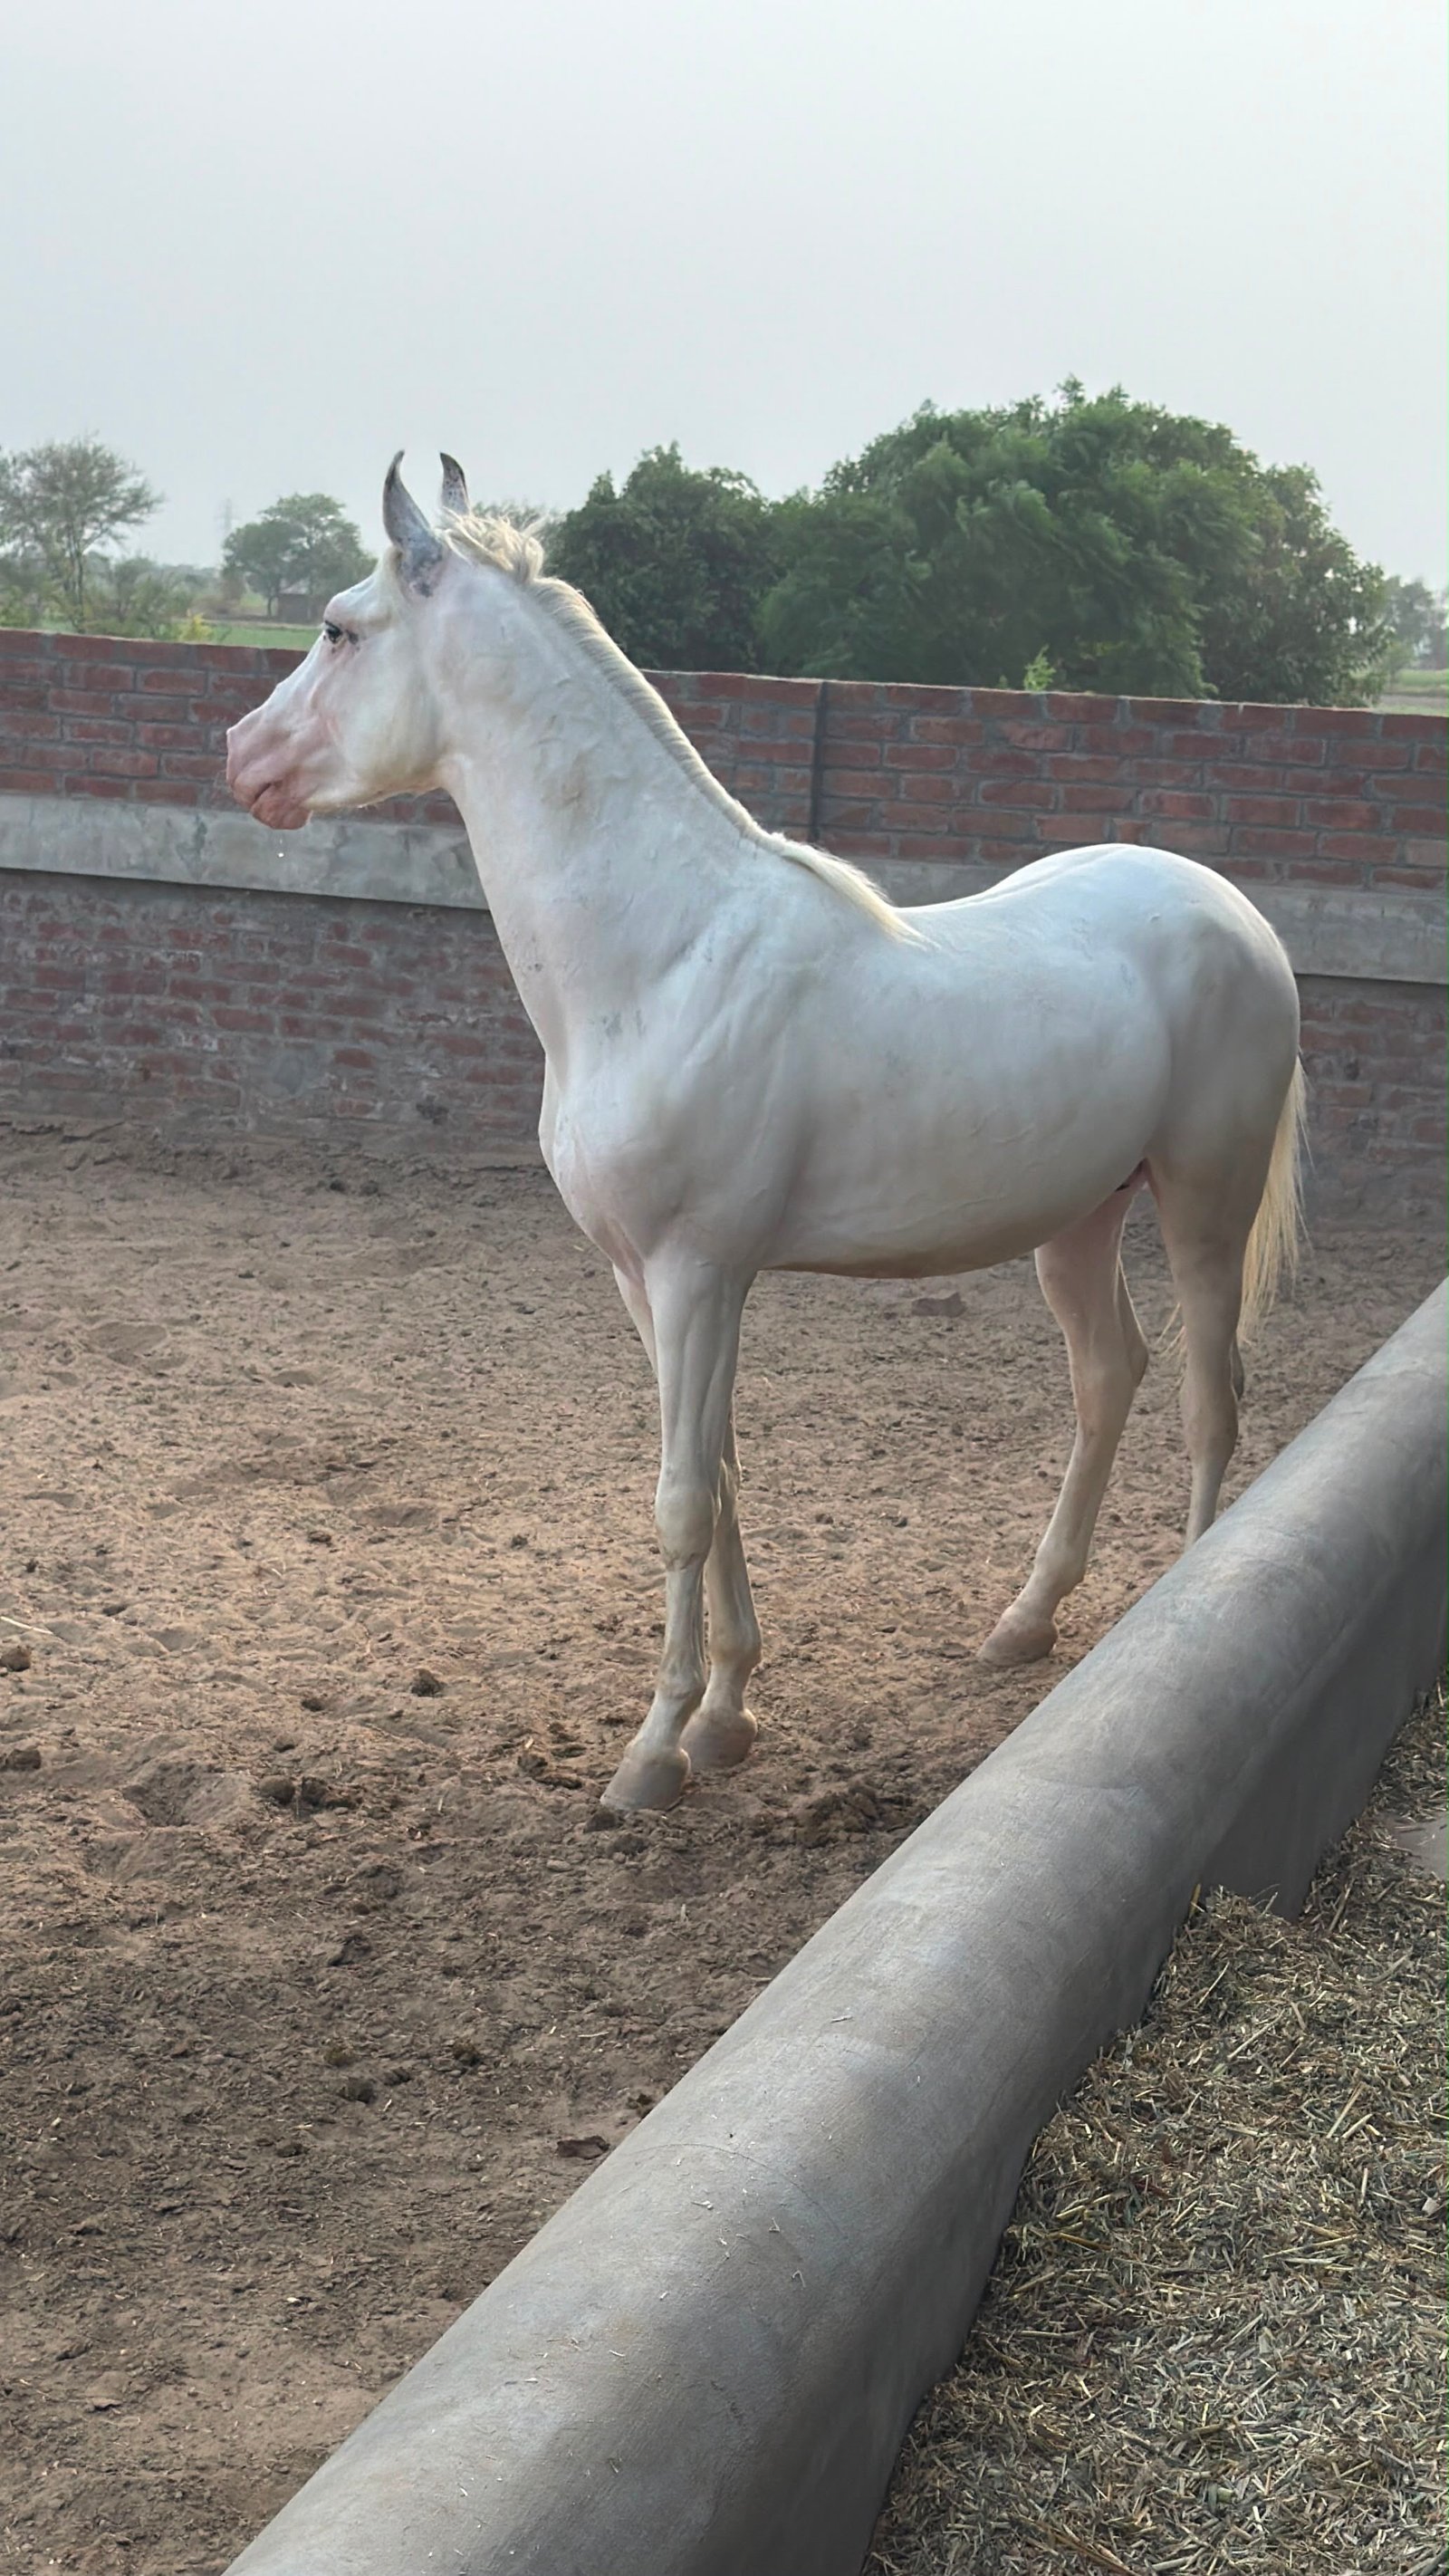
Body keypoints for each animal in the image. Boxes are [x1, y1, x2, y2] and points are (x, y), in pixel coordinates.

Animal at [227, 454, 1304, 1815]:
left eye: (338, 628)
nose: (238, 757)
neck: (663, 957)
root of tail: (1236, 914)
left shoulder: (698, 1273)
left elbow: (685, 1498)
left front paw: (653, 1756)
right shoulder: (648, 1280)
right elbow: (725, 1471)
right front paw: (729, 1719)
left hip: (1205, 1202)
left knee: (1213, 1398)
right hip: (1081, 1221)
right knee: (1110, 1377)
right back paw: (1023, 1623)